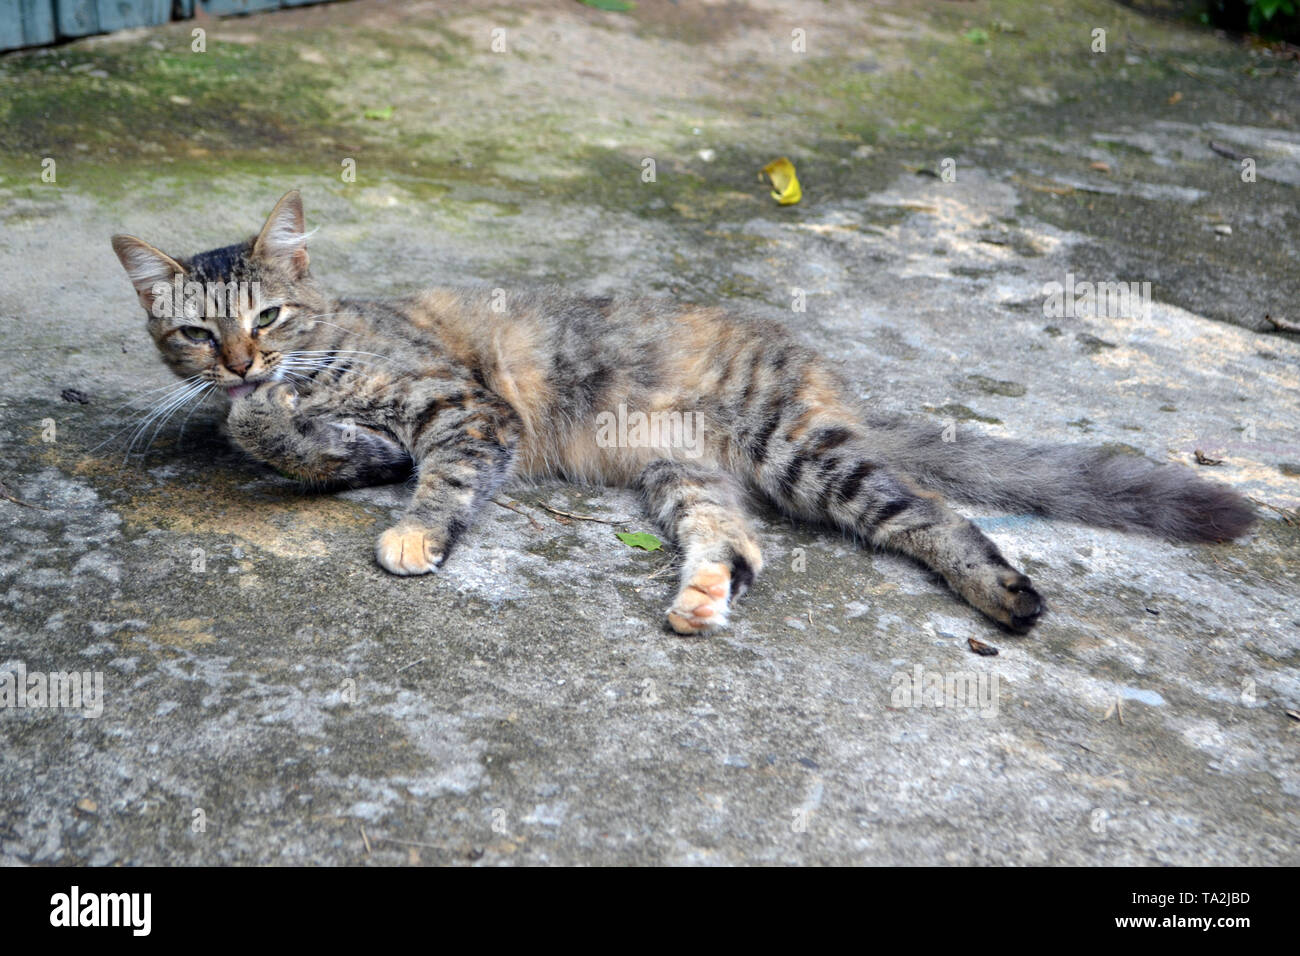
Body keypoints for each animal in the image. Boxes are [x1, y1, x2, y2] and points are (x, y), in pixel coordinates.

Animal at [114, 188, 1258, 634]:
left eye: (267, 311)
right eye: (196, 332)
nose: (241, 359)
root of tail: (821, 369)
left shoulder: (467, 409)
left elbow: (428, 477)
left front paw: (413, 529)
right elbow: (269, 432)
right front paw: (310, 438)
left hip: (803, 454)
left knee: (930, 512)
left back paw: (1004, 592)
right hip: (684, 475)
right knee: (741, 543)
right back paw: (704, 593)